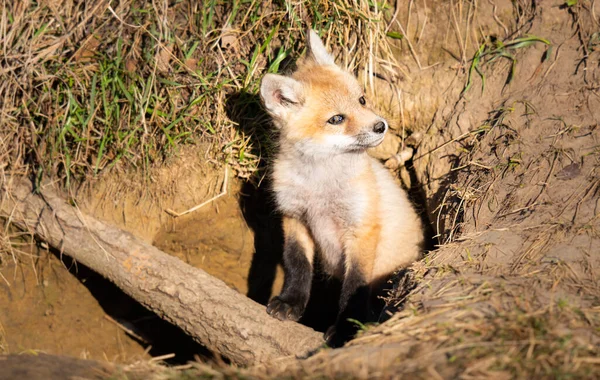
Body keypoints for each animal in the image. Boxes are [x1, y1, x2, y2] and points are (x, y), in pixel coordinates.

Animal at [260, 29, 424, 344]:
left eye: (361, 99)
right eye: (336, 119)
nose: (380, 126)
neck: (319, 186)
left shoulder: (362, 228)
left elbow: (355, 286)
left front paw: (348, 328)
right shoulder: (295, 218)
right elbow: (297, 266)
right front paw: (290, 302)